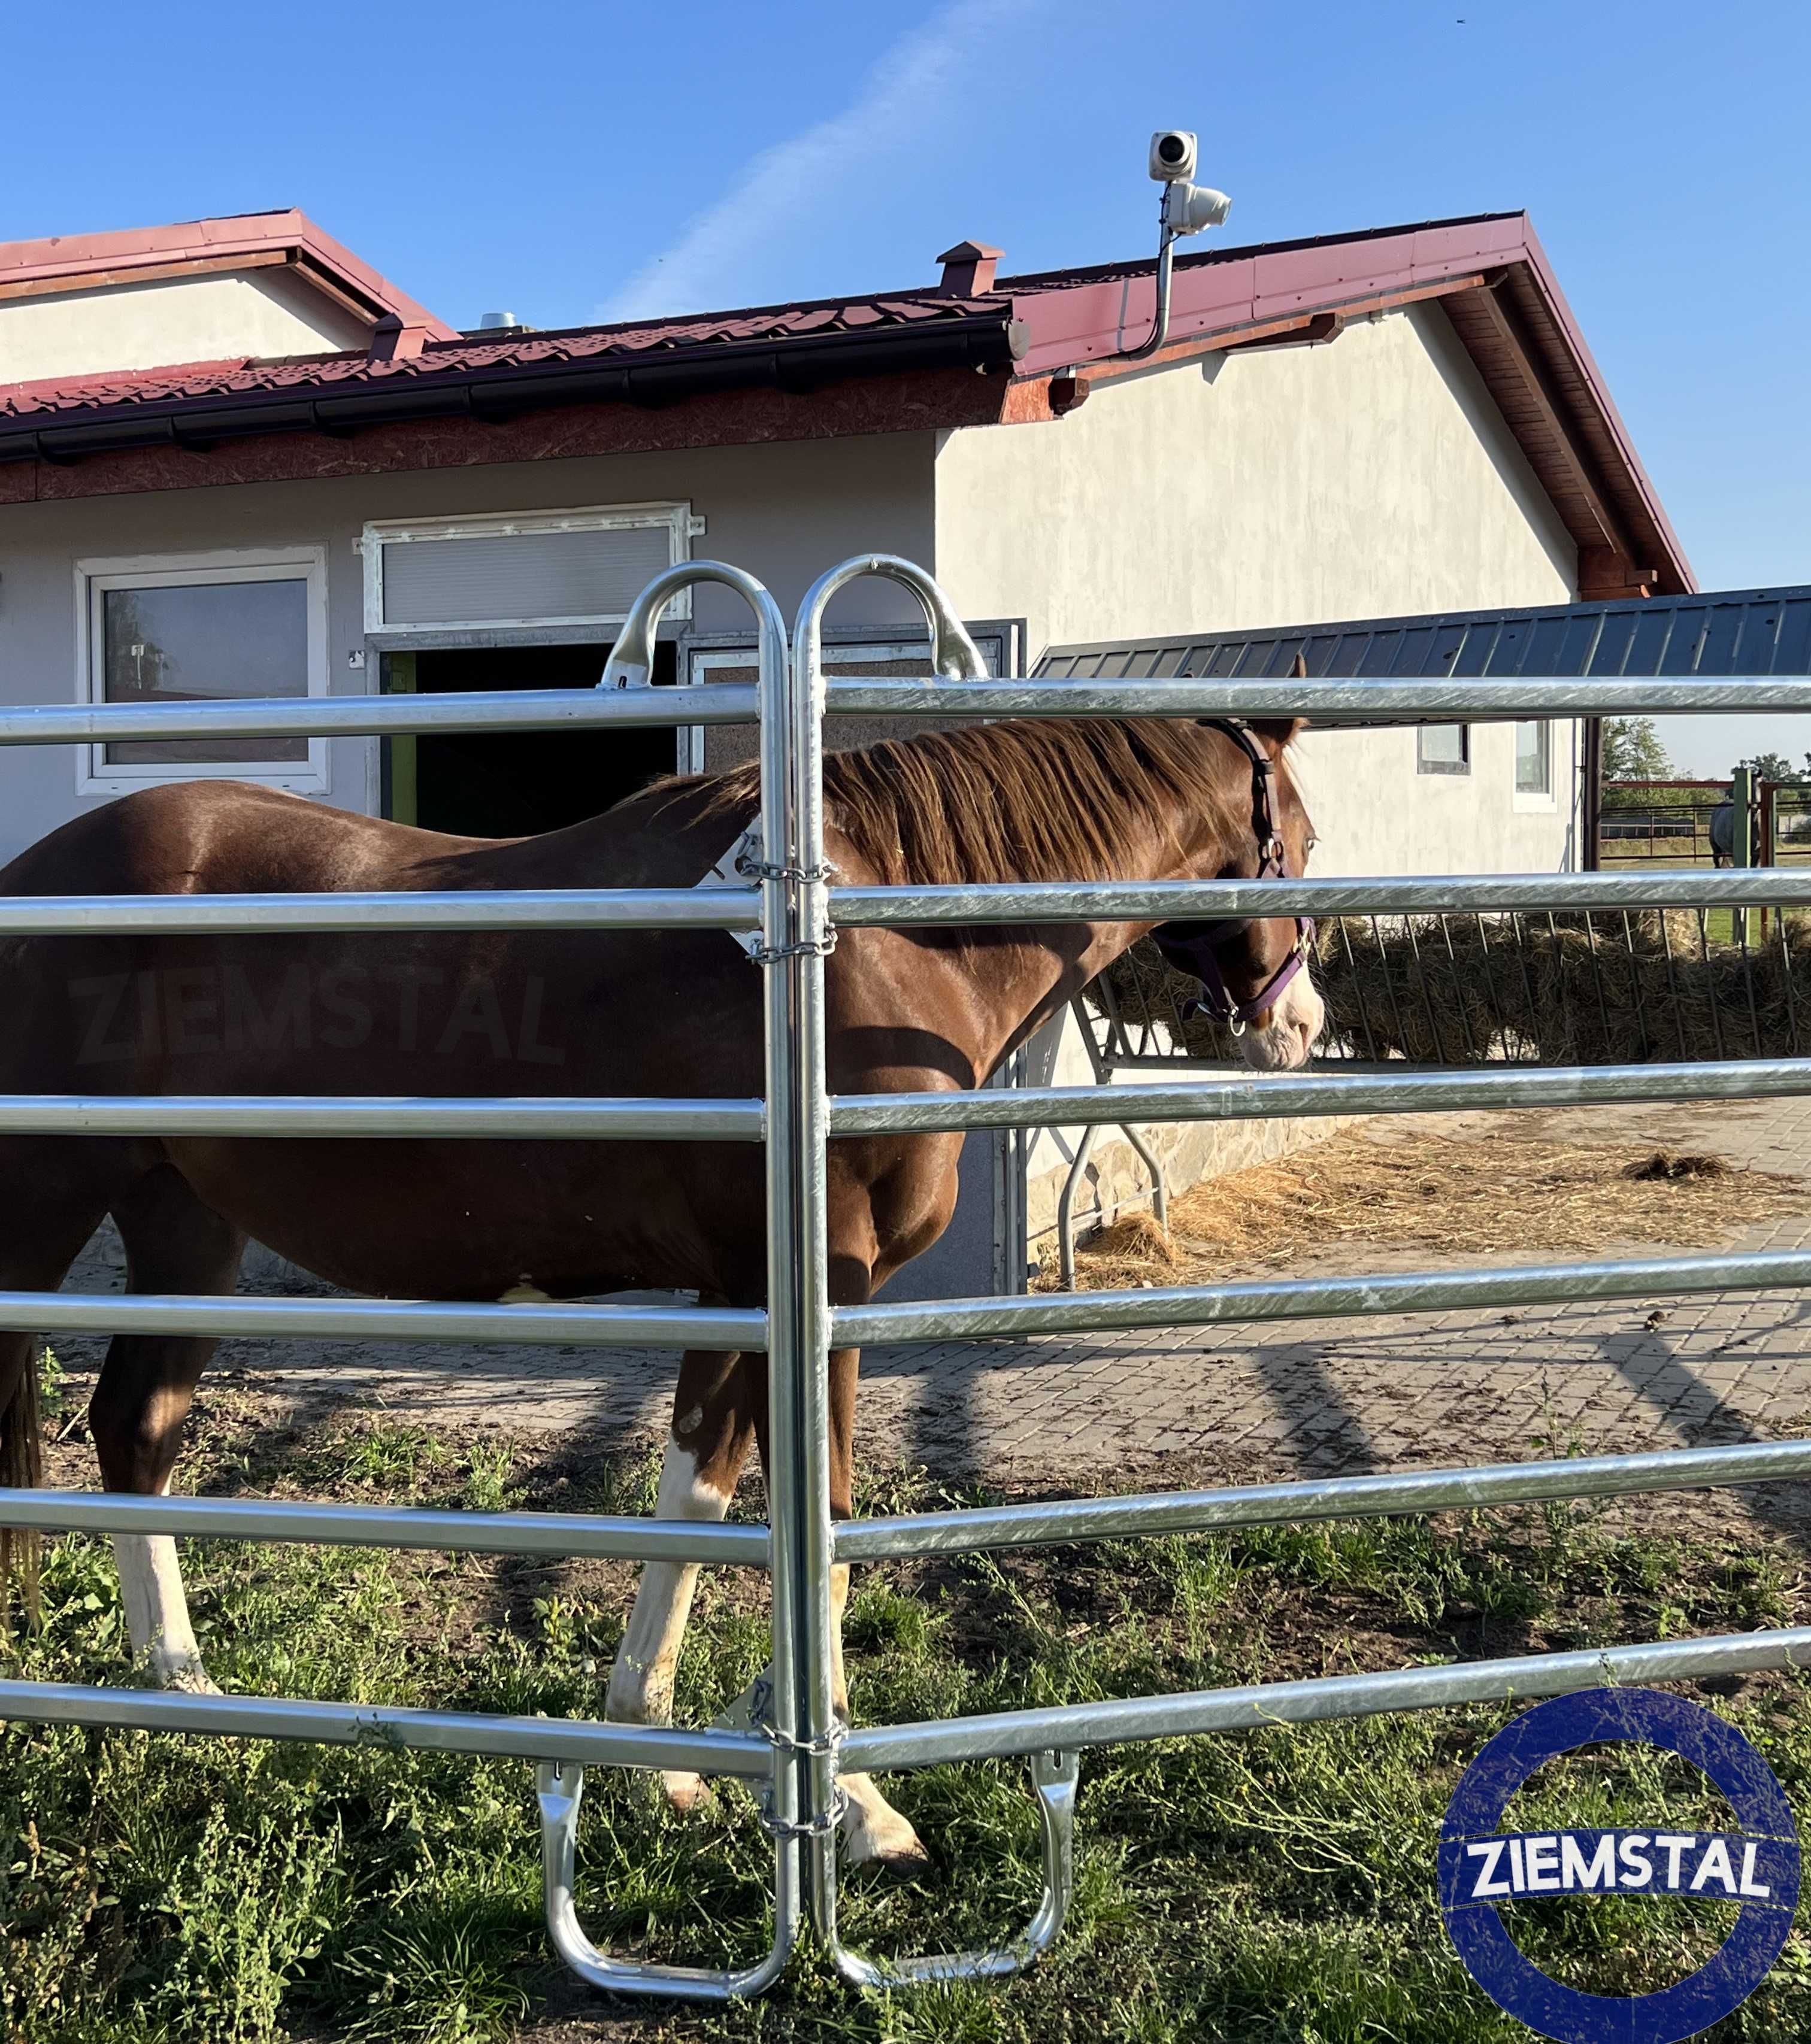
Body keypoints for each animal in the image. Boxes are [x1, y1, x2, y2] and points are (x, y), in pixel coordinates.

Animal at [0, 707, 1316, 1872]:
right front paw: (860, 1809)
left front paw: (665, 1755)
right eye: (1300, 838)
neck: (860, 955)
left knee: (136, 1427)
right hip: (49, 1207)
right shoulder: (816, 1287)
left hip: (185, 1220)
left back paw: (185, 1693)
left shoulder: (754, 1292)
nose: (1297, 1024)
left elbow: (706, 1492)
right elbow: (814, 1514)